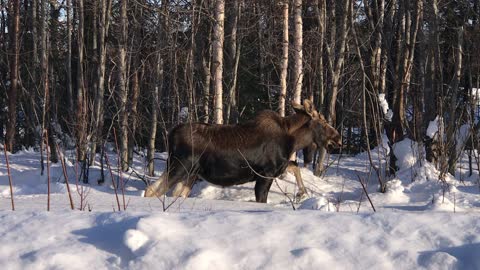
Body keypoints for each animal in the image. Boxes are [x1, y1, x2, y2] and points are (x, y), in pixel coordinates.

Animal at [143, 99, 342, 202]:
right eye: (323, 122)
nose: (338, 139)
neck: (293, 141)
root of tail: (170, 134)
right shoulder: (265, 175)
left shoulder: (279, 167)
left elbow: (295, 166)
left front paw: (301, 193)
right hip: (178, 167)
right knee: (151, 190)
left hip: (190, 174)